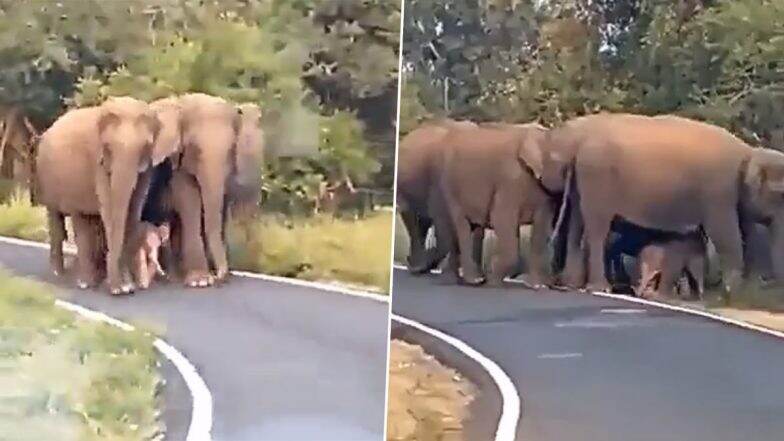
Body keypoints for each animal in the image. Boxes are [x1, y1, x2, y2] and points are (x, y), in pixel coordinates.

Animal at [36, 98, 162, 294]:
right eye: (108, 146)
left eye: (145, 146)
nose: (121, 287)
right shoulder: (98, 161)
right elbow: (108, 209)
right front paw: (118, 289)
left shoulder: (147, 166)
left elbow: (133, 210)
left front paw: (127, 286)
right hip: (46, 179)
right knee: (59, 218)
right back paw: (64, 276)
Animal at [438, 122, 556, 286]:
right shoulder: (510, 179)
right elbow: (501, 218)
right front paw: (493, 281)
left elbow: (541, 226)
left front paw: (536, 285)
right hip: (451, 186)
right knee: (462, 226)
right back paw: (472, 280)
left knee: (474, 227)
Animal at [544, 112, 784, 296]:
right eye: (781, 195)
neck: (750, 152)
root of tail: (578, 149)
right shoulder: (719, 192)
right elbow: (725, 234)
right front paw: (733, 292)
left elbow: (746, 232)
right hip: (598, 179)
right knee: (597, 228)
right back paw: (600, 288)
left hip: (582, 181)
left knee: (576, 223)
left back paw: (572, 284)